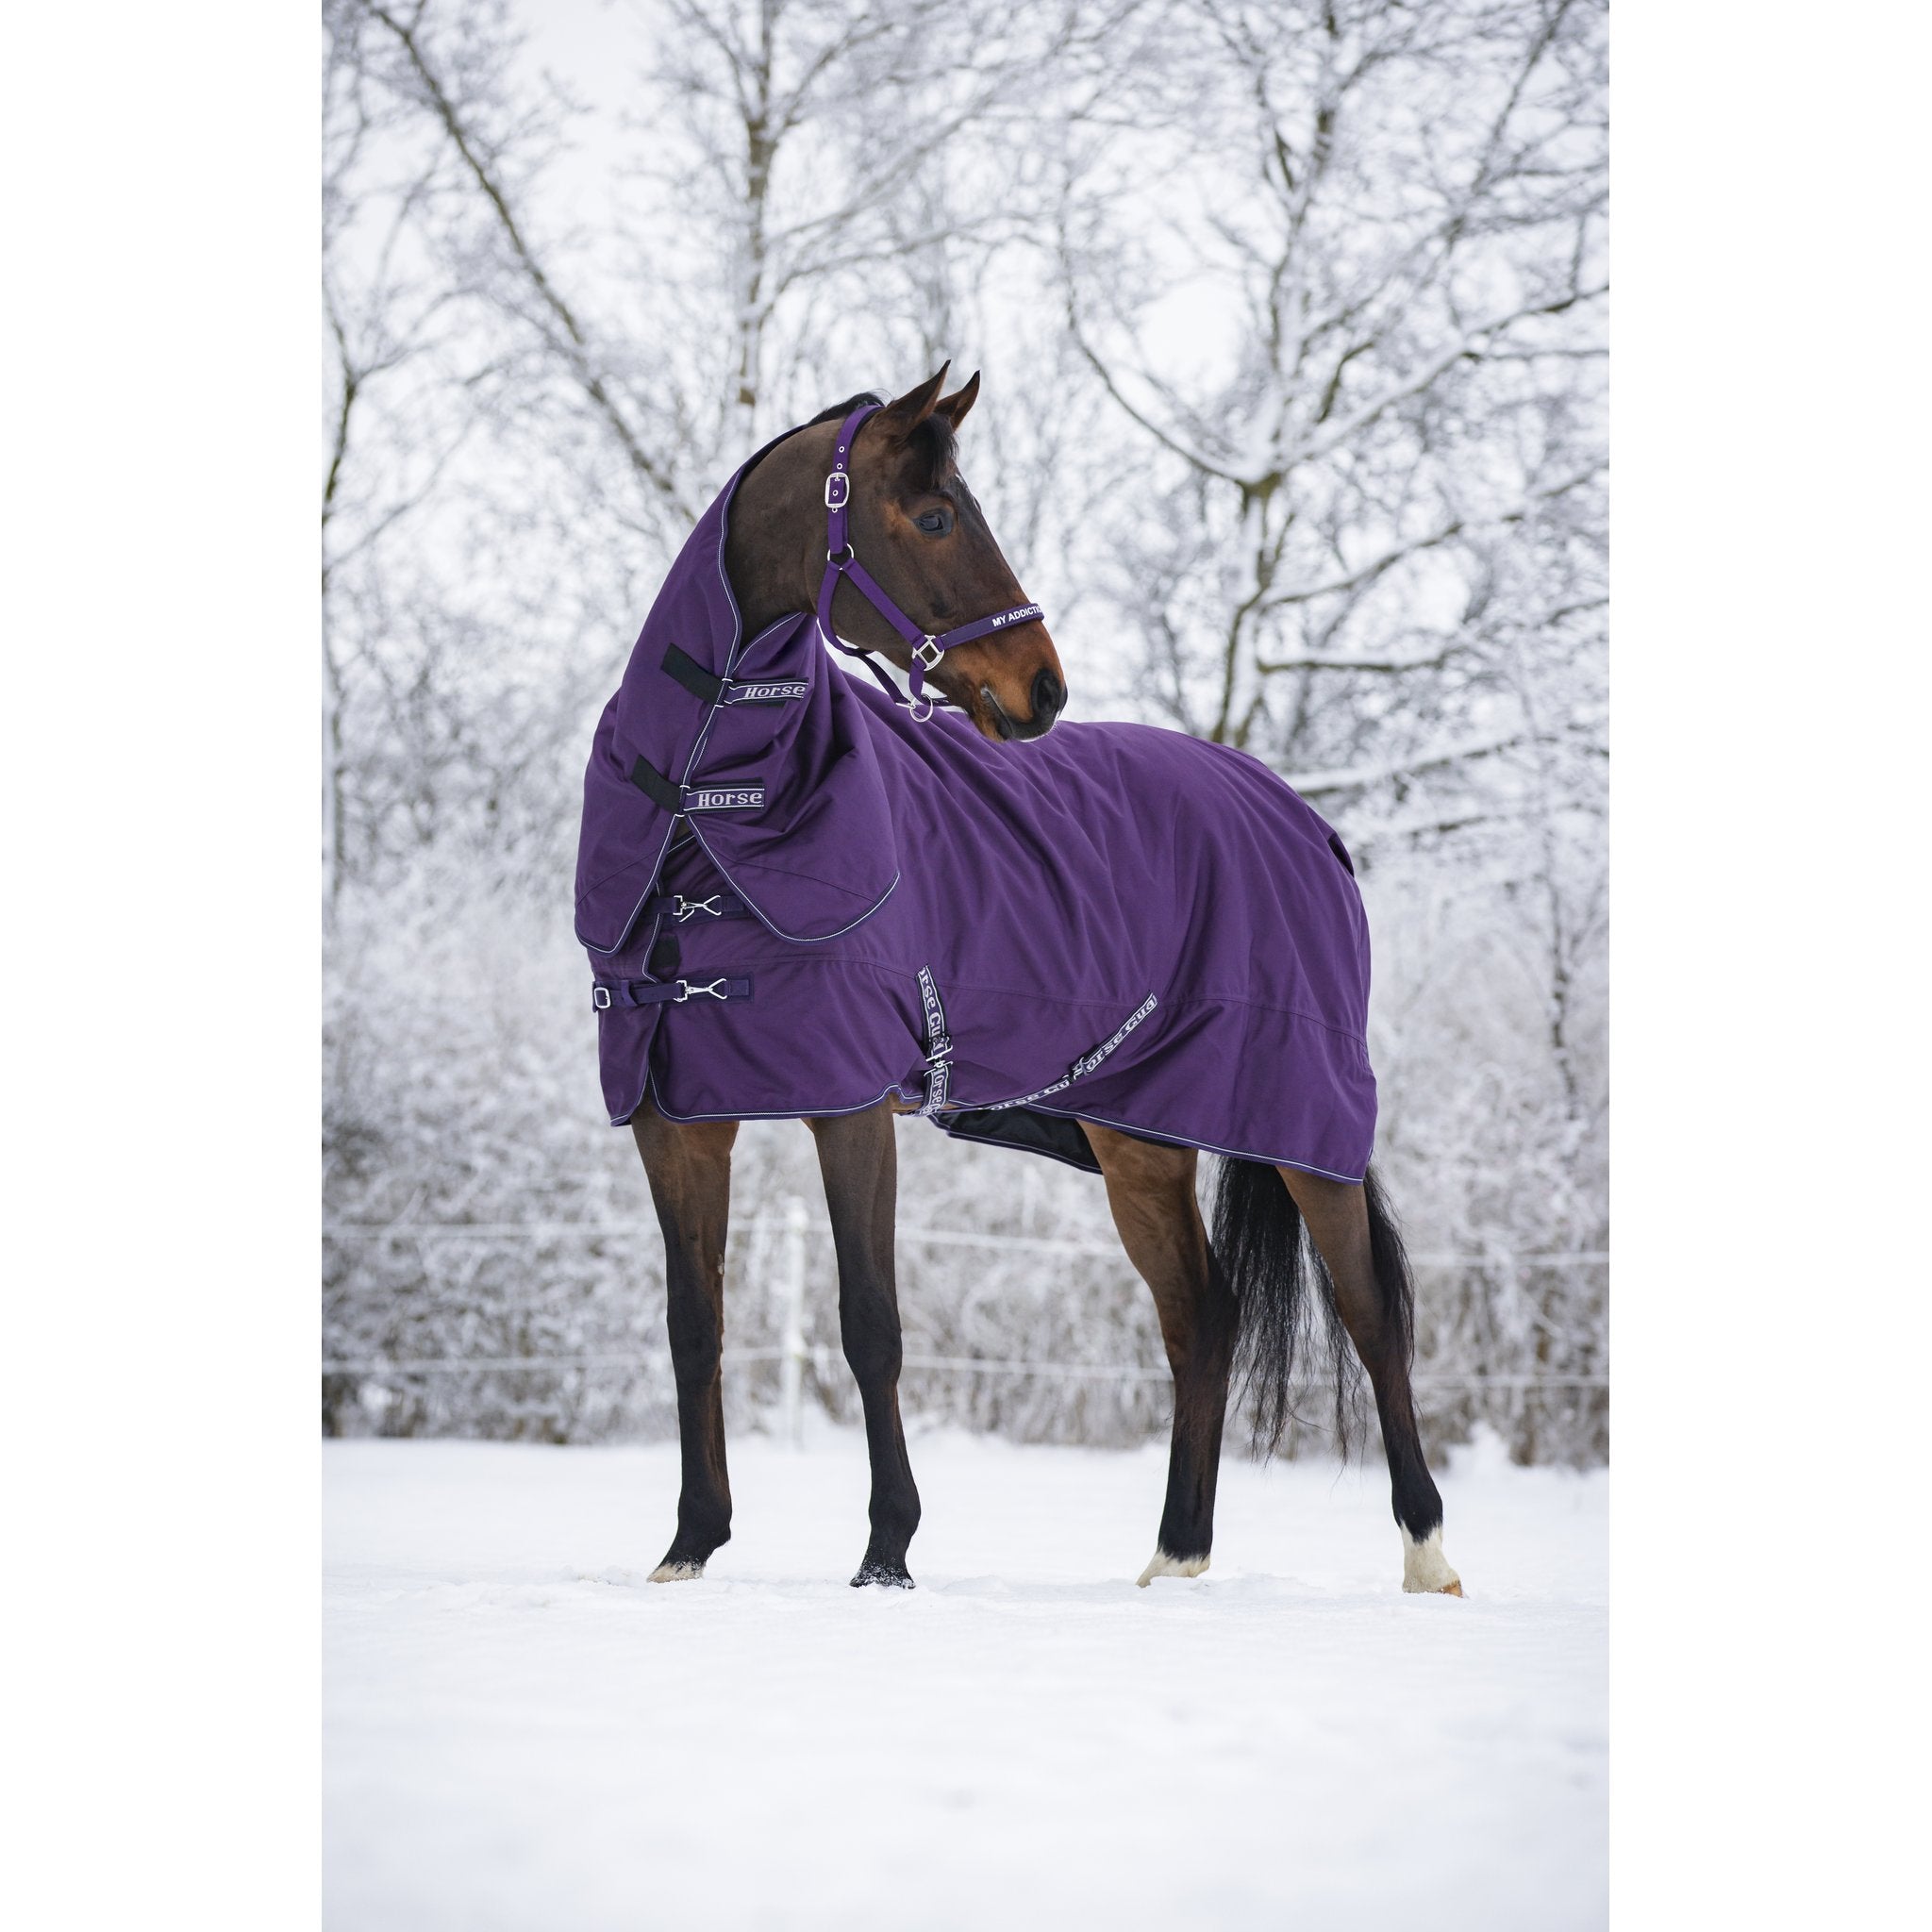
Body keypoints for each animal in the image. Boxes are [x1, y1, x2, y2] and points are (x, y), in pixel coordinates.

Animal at [582, 365, 1462, 1598]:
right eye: (934, 516)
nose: (1040, 686)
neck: (704, 812)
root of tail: (1304, 822)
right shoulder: (675, 1118)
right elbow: (692, 1324)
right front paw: (689, 1546)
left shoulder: (850, 1104)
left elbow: (869, 1320)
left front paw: (886, 1551)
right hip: (1137, 1139)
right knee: (1200, 1318)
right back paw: (1172, 1558)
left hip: (1302, 1120)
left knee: (1371, 1312)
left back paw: (1426, 1554)